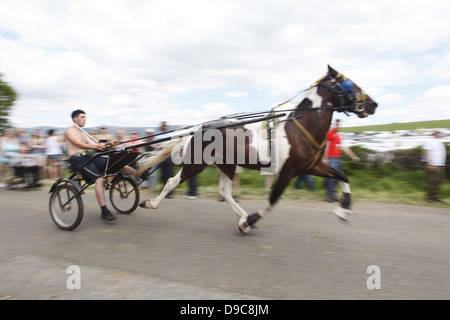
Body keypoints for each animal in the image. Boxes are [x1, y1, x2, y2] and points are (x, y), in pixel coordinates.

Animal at [136, 66, 376, 234]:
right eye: (348, 83)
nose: (373, 104)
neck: (301, 127)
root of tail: (198, 128)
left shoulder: (311, 166)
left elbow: (342, 176)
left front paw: (344, 210)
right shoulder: (288, 171)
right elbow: (272, 201)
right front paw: (251, 219)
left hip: (227, 164)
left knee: (224, 191)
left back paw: (242, 217)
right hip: (196, 163)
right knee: (171, 182)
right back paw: (152, 203)